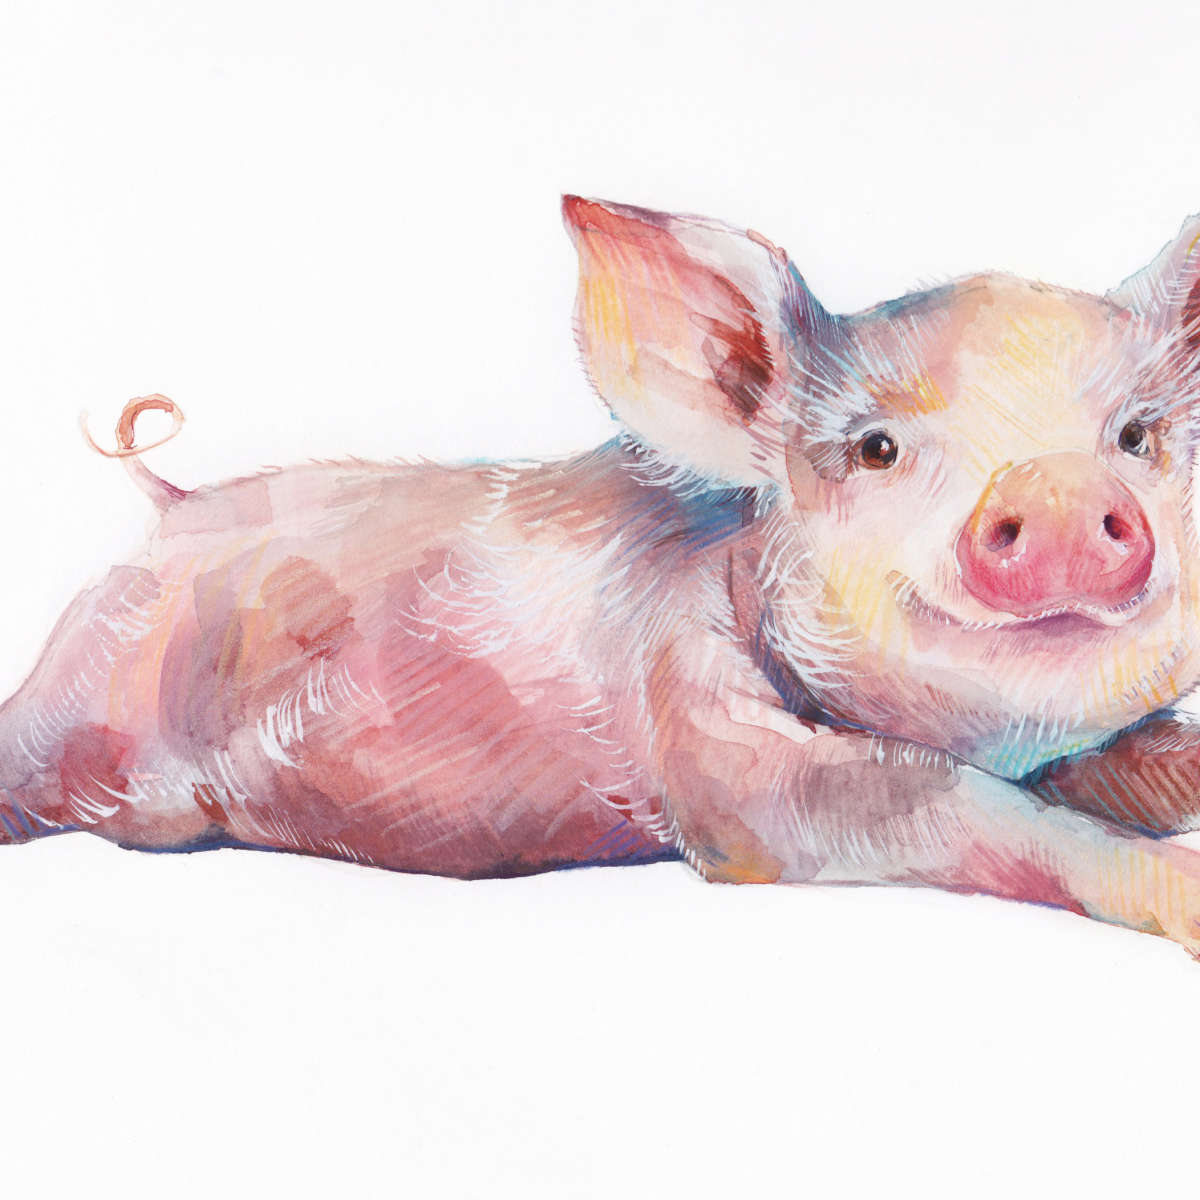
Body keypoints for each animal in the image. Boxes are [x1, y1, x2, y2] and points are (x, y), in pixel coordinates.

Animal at [6, 196, 1200, 955]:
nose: (1055, 489)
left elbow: (1137, 759)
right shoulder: (720, 766)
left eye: (1138, 434)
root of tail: (165, 512)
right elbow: (953, 807)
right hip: (77, 692)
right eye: (875, 448)